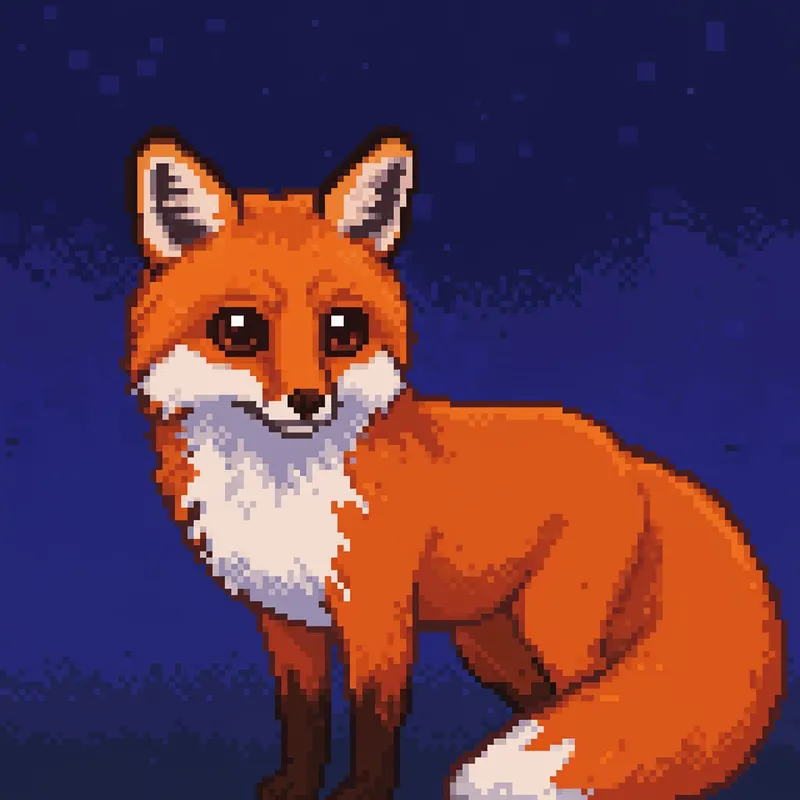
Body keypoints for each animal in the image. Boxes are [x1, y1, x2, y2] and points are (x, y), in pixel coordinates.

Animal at [123, 126, 786, 800]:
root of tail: (627, 455)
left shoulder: (378, 619)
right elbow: (303, 718)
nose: (309, 401)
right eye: (238, 329)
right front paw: (297, 786)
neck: (282, 483)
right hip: (489, 642)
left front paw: (363, 793)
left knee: (584, 696)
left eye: (343, 328)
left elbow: (374, 722)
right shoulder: (286, 624)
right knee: (544, 706)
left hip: (555, 627)